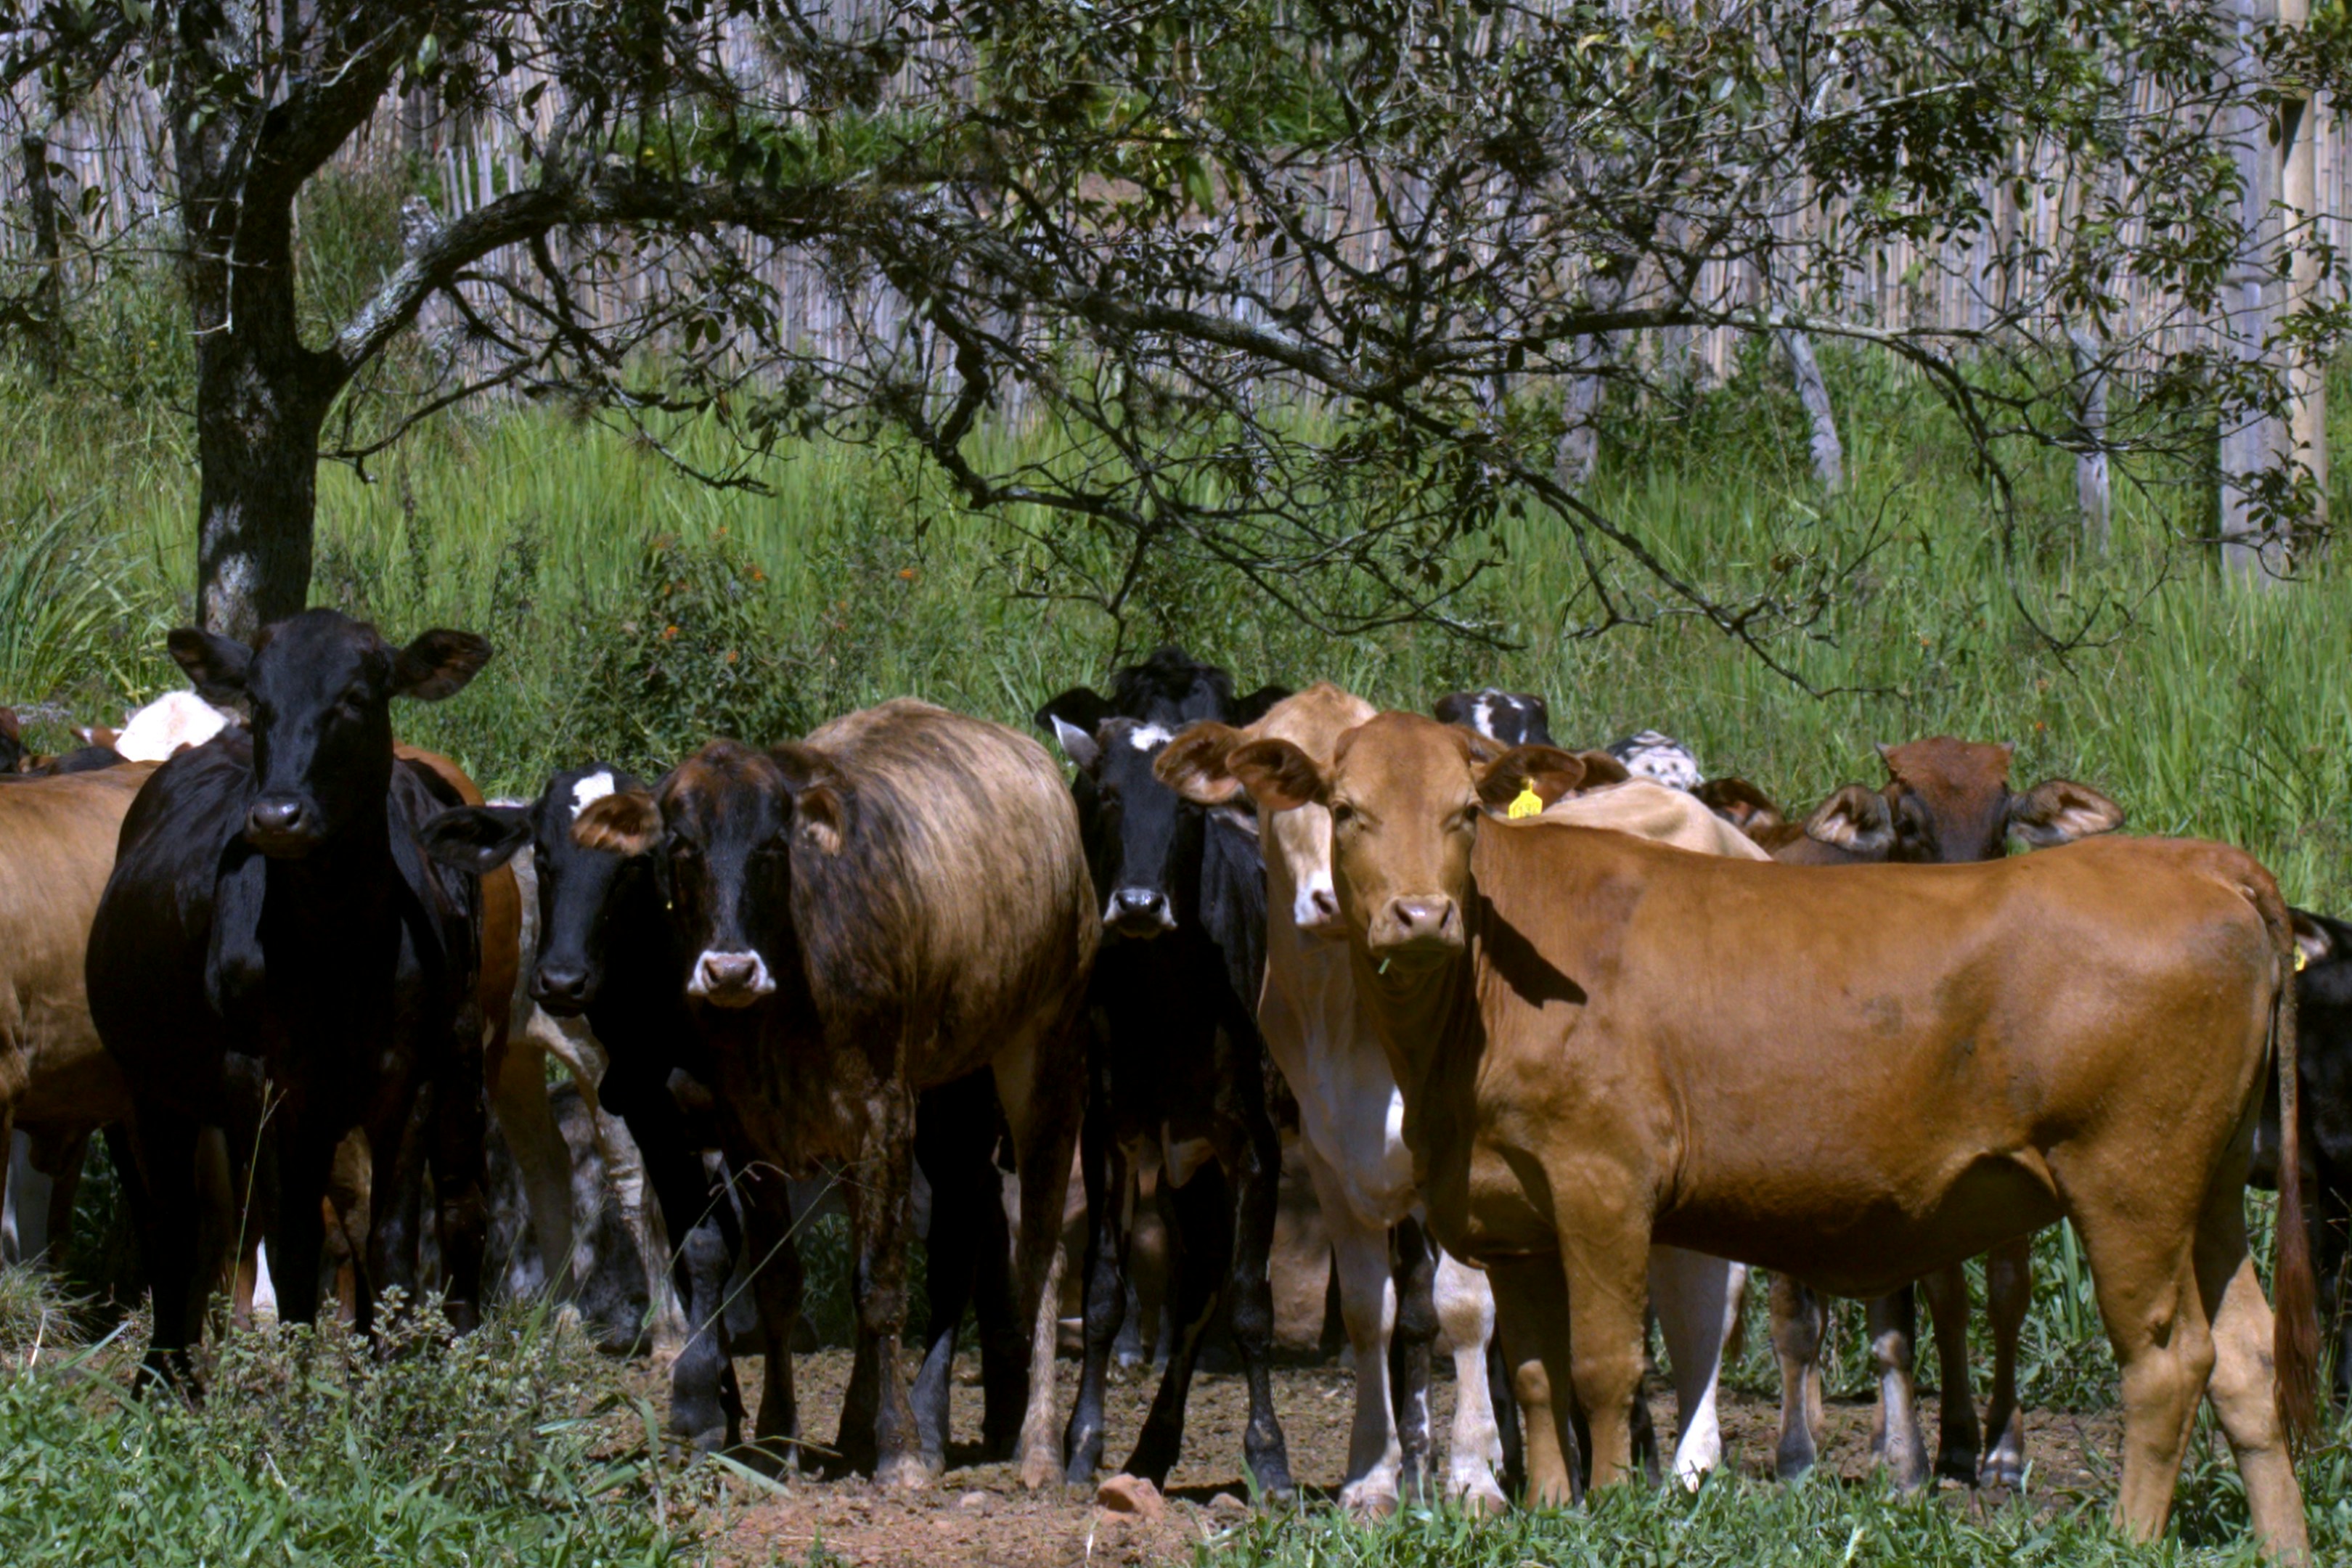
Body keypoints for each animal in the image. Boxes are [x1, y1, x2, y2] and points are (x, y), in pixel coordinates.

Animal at [86, 610, 495, 1388]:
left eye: (357, 699)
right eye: (259, 700)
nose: (277, 816)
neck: (338, 954)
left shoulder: (411, 1081)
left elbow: (391, 1241)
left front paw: (388, 1386)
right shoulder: (262, 1084)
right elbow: (289, 1242)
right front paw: (305, 1396)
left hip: (460, 1056)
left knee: (460, 1204)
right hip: (155, 1085)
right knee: (176, 1222)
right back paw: (164, 1374)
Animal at [572, 701, 1094, 1489]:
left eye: (772, 846)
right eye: (682, 845)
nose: (730, 970)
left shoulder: (884, 1112)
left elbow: (879, 1289)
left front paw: (901, 1450)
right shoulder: (749, 1132)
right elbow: (778, 1285)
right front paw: (775, 1437)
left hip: (1046, 1055)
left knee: (1039, 1250)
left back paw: (1035, 1445)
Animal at [1037, 649, 1294, 1498]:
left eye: (1185, 807)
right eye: (1109, 795)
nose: (1141, 904)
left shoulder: (1256, 1145)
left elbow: (1251, 1304)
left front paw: (1270, 1456)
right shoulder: (1112, 1136)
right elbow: (1105, 1294)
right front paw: (1083, 1442)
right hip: (1187, 1168)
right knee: (1193, 1282)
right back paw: (1152, 1446)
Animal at [1162, 690, 1758, 1509]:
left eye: (1465, 810)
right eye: (1298, 792)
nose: (1329, 900)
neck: (1346, 1020)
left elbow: (1463, 1311)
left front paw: (1473, 1474)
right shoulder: (1332, 1163)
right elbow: (1369, 1314)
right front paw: (1372, 1478)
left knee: (1709, 1309)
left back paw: (1692, 1468)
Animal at [1698, 743, 2124, 1489]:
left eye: (2002, 821)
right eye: (1907, 822)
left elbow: (1984, 1298)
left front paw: (1988, 1450)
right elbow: (1799, 1321)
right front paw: (1798, 1457)